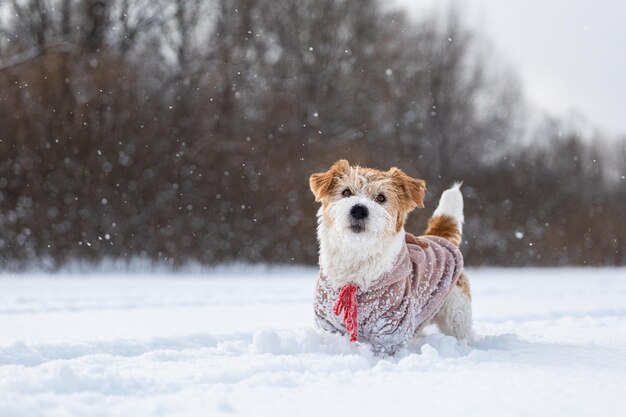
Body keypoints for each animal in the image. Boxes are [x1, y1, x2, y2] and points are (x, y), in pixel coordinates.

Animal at [310, 159, 470, 354]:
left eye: (381, 198)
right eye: (346, 192)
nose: (359, 209)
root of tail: (439, 238)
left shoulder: (392, 328)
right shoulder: (331, 323)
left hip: (456, 316)